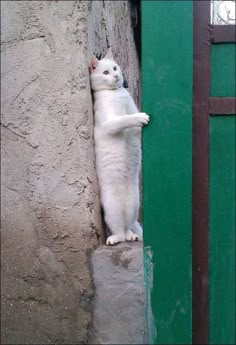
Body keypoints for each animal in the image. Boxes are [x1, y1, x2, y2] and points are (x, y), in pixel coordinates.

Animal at [89, 47, 148, 245]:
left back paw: (132, 235)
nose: (116, 76)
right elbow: (124, 119)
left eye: (115, 68)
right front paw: (140, 117)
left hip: (133, 205)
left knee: (128, 227)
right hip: (111, 209)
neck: (116, 93)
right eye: (105, 72)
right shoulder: (109, 124)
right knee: (118, 231)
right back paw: (114, 239)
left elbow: (132, 122)